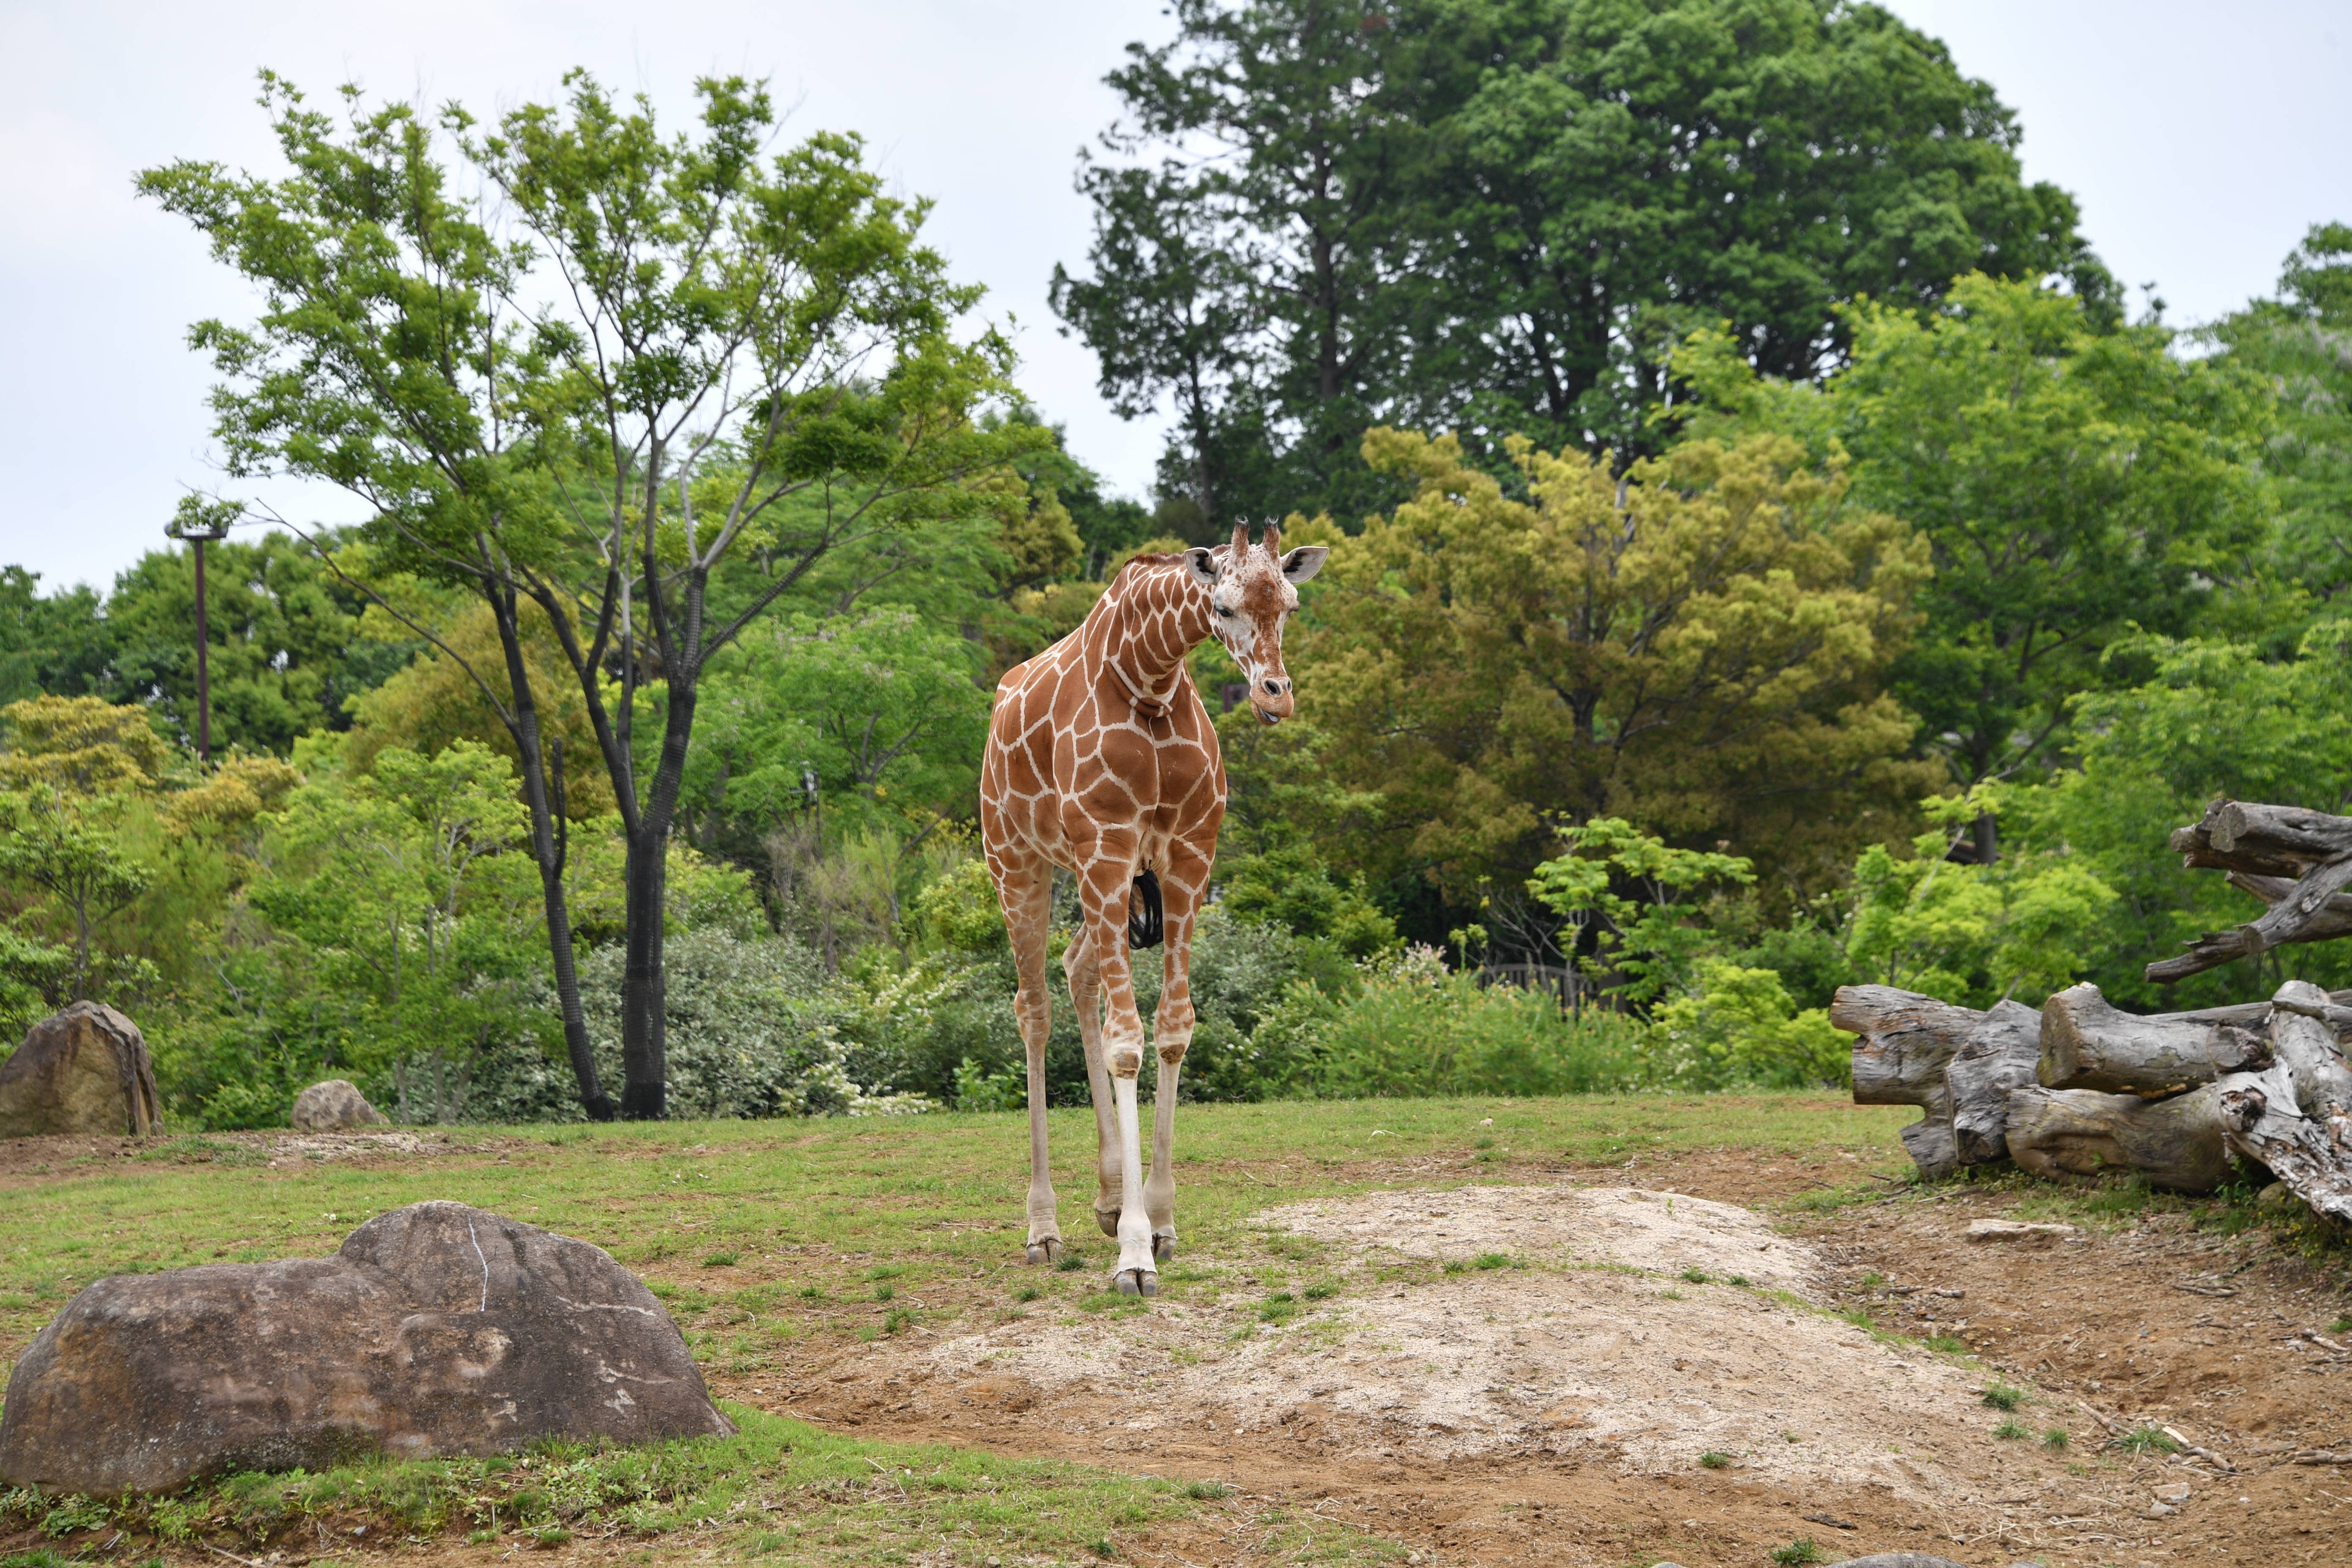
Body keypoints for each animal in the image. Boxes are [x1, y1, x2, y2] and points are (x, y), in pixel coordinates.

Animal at [983, 522, 1336, 1298]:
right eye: (1225, 606)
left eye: (1291, 605)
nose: (1275, 696)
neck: (1147, 676)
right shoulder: (1107, 848)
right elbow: (1127, 1041)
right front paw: (1134, 1257)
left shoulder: (1187, 860)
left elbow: (1174, 1029)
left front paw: (1158, 1219)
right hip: (1017, 860)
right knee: (1033, 1007)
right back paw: (1043, 1228)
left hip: (1097, 886)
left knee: (1076, 968)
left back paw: (1111, 1199)